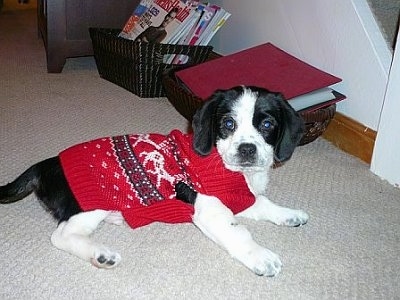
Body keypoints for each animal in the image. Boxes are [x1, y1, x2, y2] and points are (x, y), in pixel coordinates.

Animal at [0, 85, 308, 276]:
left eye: (267, 125)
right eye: (228, 124)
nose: (247, 149)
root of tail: (46, 163)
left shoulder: (240, 198)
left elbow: (265, 203)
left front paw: (290, 214)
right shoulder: (211, 209)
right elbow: (239, 233)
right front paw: (261, 257)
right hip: (93, 202)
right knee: (61, 235)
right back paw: (100, 254)